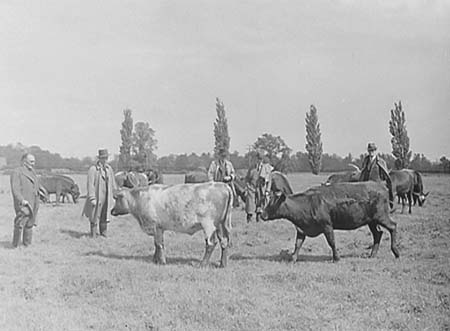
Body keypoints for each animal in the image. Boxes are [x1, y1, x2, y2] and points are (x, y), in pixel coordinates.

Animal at [260, 182, 400, 262]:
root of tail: (382, 186)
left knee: (393, 227)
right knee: (378, 234)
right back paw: (372, 255)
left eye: (272, 203)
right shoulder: (302, 229)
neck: (308, 203)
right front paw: (293, 259)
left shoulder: (327, 226)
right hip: (372, 221)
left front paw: (336, 258)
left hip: (381, 216)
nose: (261, 214)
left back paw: (396, 252)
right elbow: (297, 244)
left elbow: (331, 242)